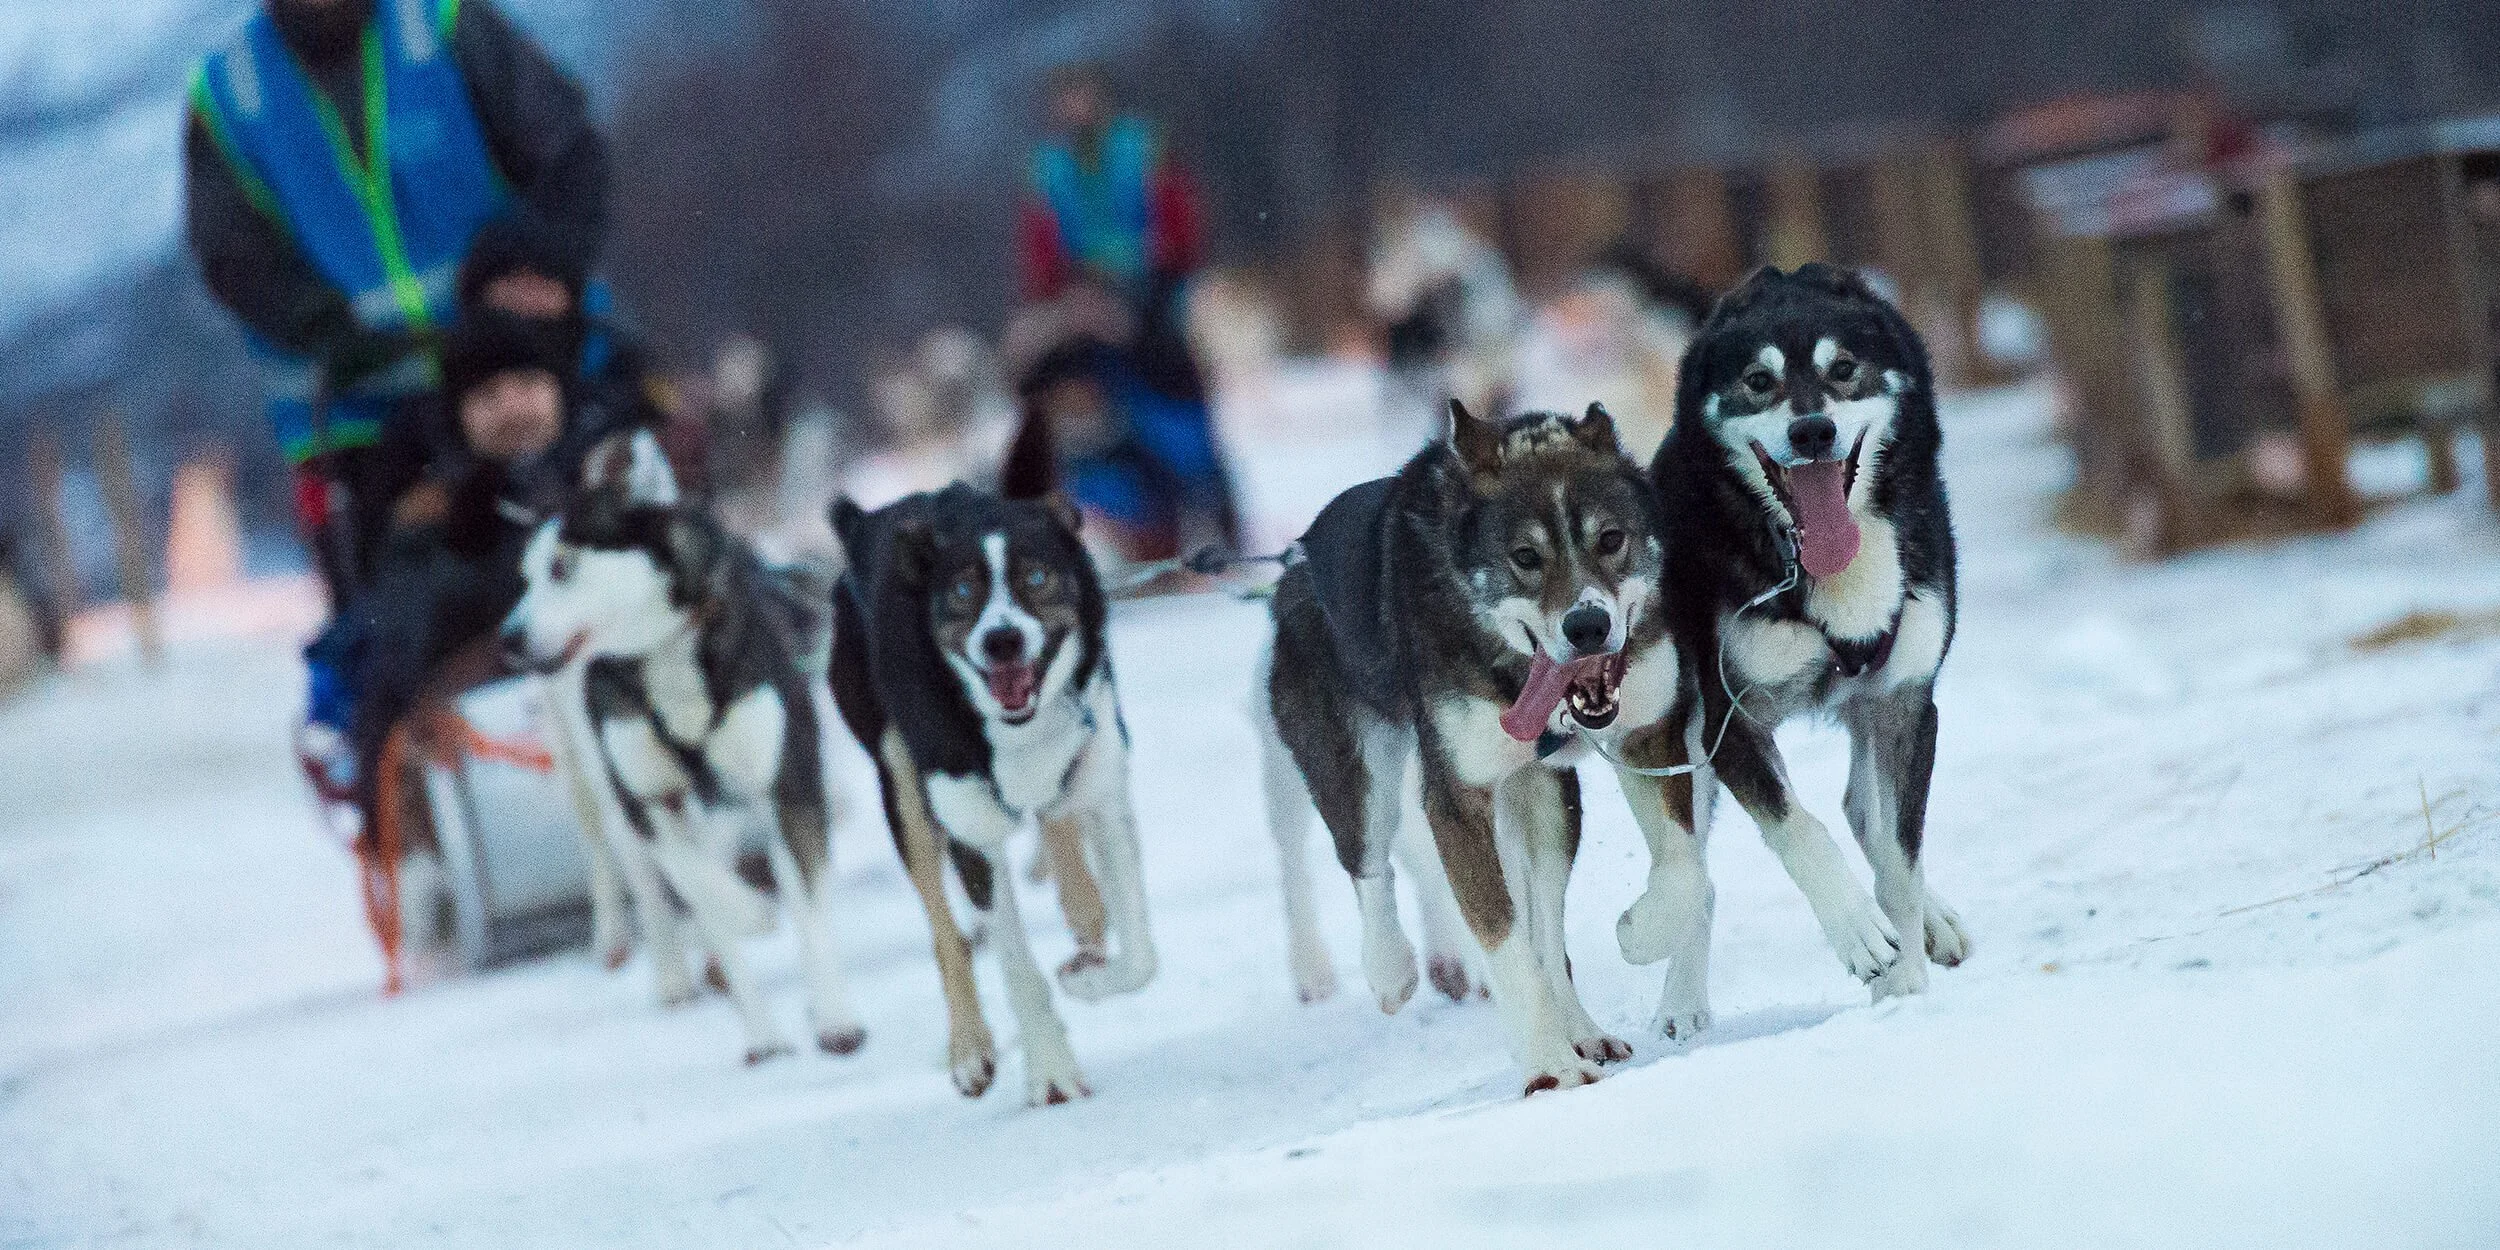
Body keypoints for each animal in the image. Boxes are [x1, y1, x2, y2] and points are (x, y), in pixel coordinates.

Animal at [497, 450, 870, 1065]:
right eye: (524, 578)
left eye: (561, 567)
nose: (508, 638)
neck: (663, 652)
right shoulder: (647, 799)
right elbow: (696, 884)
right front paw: (753, 952)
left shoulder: (787, 780)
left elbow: (807, 905)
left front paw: (837, 1019)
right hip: (600, 781)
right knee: (643, 880)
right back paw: (682, 975)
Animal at [835, 487, 1155, 1105]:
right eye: (963, 591)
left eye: (1035, 576)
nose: (1001, 639)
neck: (1018, 732)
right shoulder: (972, 835)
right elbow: (1015, 966)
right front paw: (1051, 1071)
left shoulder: (1105, 790)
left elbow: (1140, 958)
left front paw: (1090, 978)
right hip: (900, 785)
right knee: (945, 933)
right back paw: (970, 1049)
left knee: (1059, 825)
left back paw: (1084, 909)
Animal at [1270, 402, 1680, 1095]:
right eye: (1525, 556)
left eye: (1611, 539)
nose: (1588, 625)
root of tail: (1290, 561)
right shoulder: (1456, 800)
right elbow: (1503, 937)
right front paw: (1550, 1067)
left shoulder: (1555, 786)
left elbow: (1543, 932)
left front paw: (1571, 1037)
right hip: (1355, 763)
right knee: (1368, 858)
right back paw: (1391, 968)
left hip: (1530, 793)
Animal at [1630, 263, 1980, 1015]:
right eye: (1759, 381)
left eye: (1843, 369)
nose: (1813, 430)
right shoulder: (1726, 722)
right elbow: (1799, 828)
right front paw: (1858, 932)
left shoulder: (1904, 702)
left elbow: (1900, 857)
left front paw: (1904, 978)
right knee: (1693, 867)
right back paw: (1681, 1003)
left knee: (1867, 816)